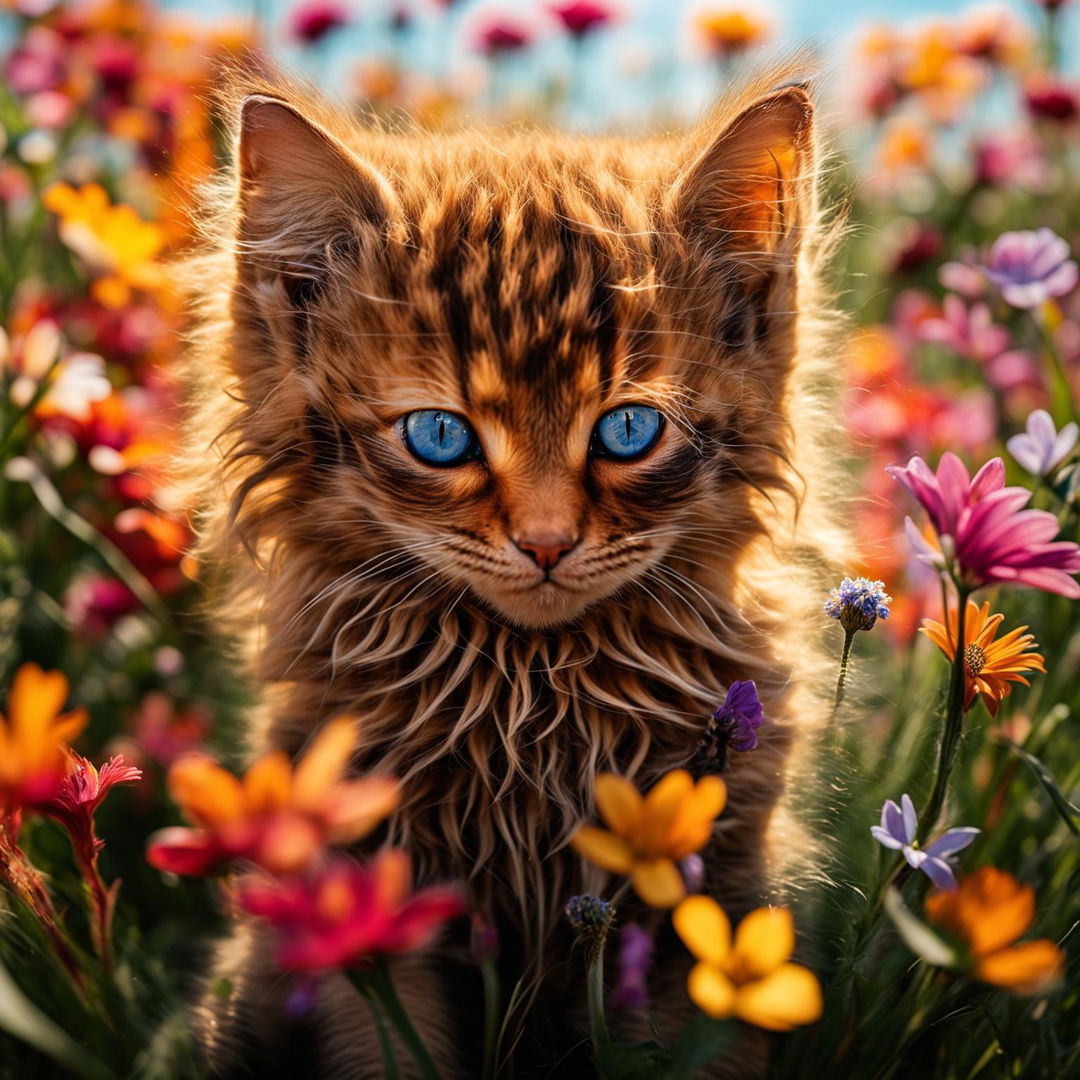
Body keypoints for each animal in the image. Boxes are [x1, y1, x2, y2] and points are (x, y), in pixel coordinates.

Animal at [183, 65, 842, 1080]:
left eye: (628, 429)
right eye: (440, 435)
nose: (545, 541)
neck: (528, 701)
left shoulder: (709, 891)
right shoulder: (362, 905)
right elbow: (391, 1049)